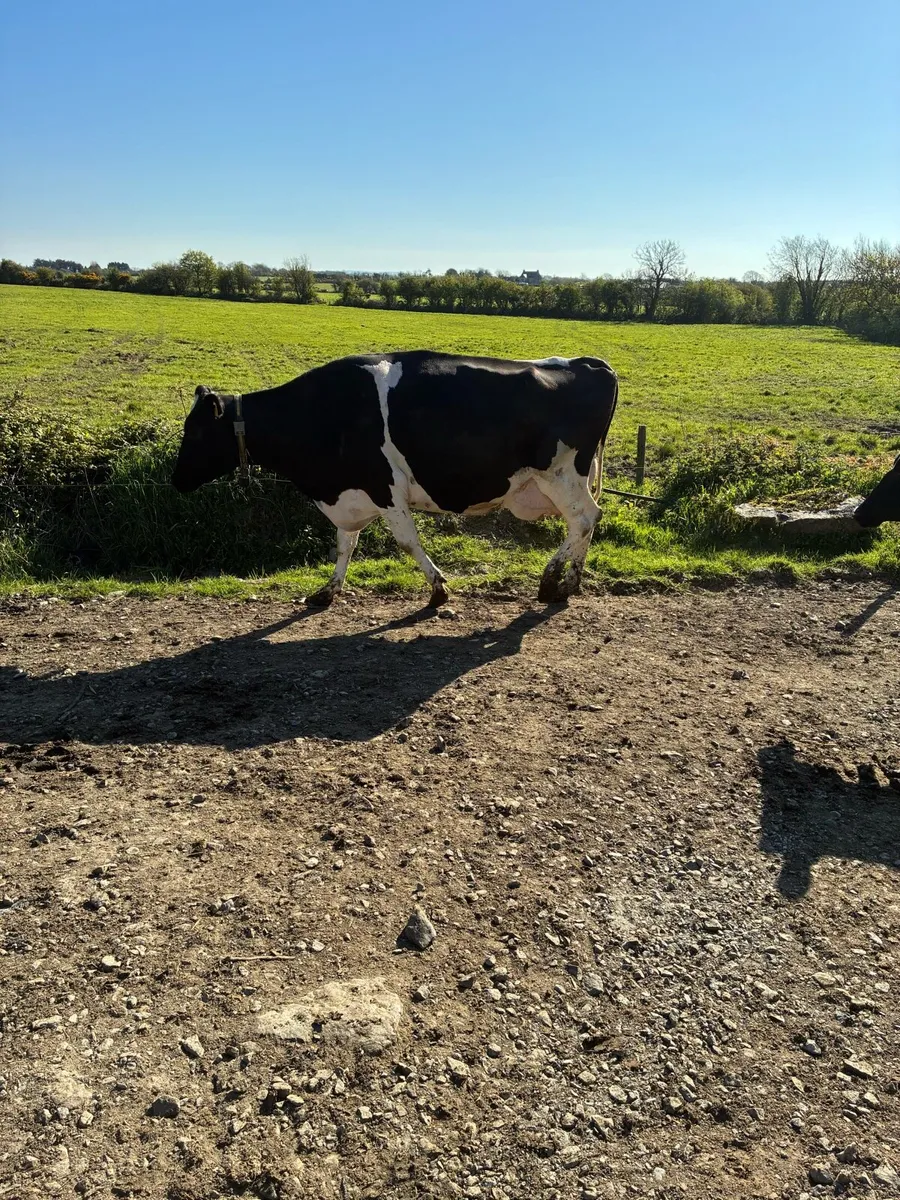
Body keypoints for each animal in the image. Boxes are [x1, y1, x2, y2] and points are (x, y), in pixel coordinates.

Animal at [171, 350, 619, 607]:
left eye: (195, 432)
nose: (175, 481)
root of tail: (590, 363)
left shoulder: (383, 488)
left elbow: (407, 542)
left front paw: (439, 590)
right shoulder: (350, 493)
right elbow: (344, 545)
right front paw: (327, 591)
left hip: (561, 473)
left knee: (583, 519)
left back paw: (551, 580)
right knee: (586, 522)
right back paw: (570, 583)